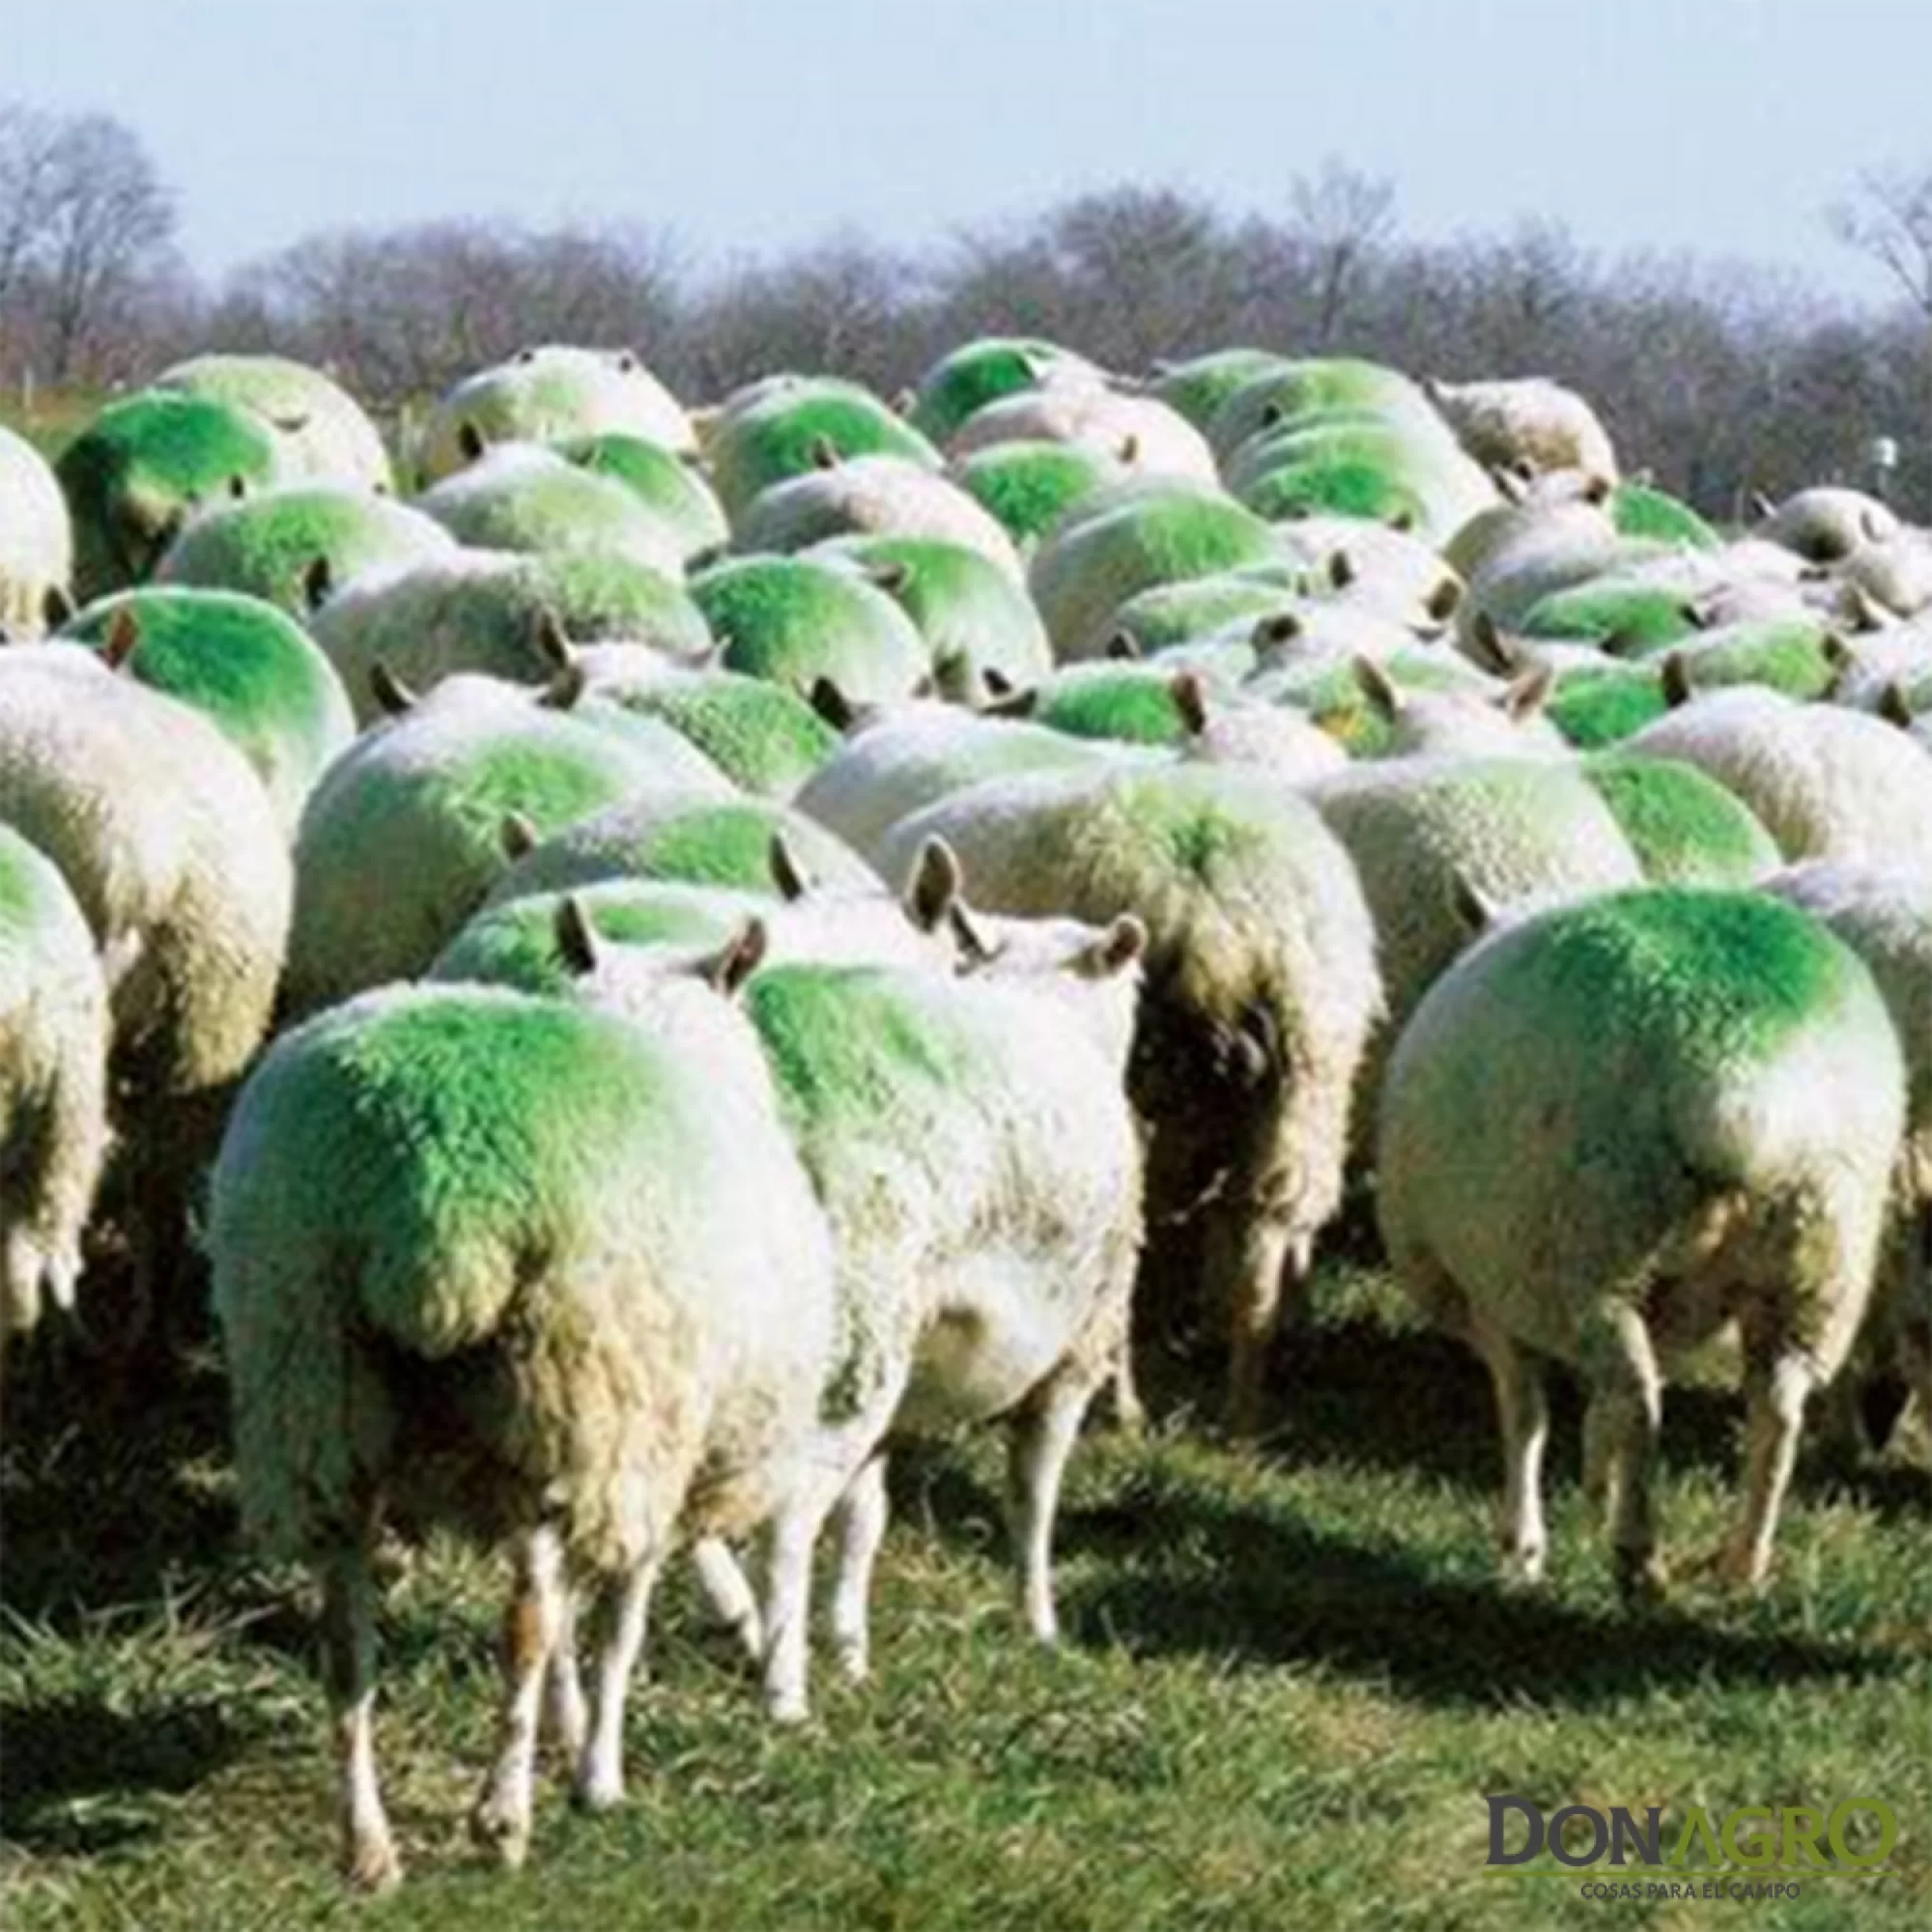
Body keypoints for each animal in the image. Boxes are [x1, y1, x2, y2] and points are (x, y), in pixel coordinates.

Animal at [210, 912, 871, 1886]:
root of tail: (439, 1186)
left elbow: (572, 1625)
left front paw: (572, 1737)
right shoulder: (647, 1454)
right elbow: (614, 1627)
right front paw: (597, 1772)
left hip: (315, 1382)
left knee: (346, 1638)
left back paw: (367, 1845)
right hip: (570, 1403)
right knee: (522, 1621)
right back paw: (502, 1818)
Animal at [881, 762, 1381, 1434]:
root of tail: (1210, 902)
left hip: (1139, 1110)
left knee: (1127, 1267)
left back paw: (1124, 1402)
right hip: (1303, 1094)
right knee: (1260, 1250)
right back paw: (1240, 1410)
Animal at [1377, 885, 1905, 1597]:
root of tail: (1739, 1075)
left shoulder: (1495, 1290)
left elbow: (1525, 1412)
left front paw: (1524, 1545)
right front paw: (1591, 1487)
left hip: (1593, 1256)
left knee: (1638, 1396)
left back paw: (1638, 1555)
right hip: (1819, 1269)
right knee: (1777, 1410)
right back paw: (1742, 1564)